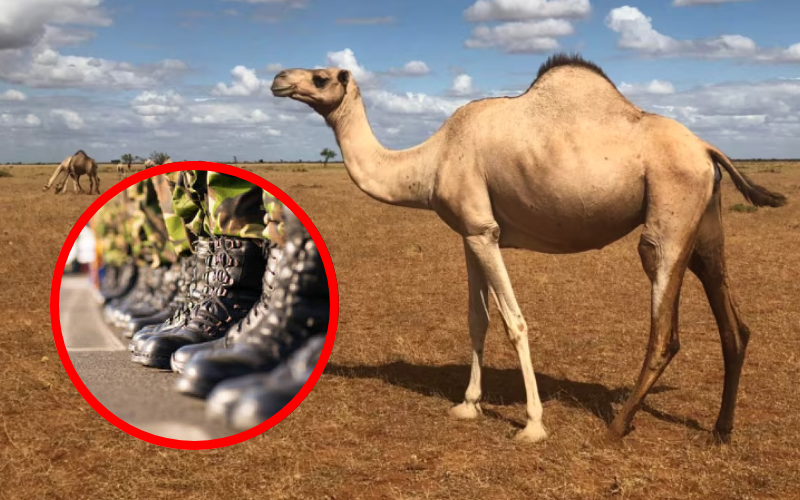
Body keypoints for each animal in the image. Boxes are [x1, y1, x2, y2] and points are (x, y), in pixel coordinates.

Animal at [270, 53, 787, 444]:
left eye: (320, 76)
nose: (278, 78)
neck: (430, 162)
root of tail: (707, 148)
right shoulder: (470, 231)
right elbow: (477, 319)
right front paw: (468, 404)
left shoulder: (484, 230)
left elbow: (513, 322)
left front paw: (533, 425)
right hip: (705, 223)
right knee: (732, 322)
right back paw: (720, 430)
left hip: (669, 214)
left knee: (665, 326)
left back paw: (619, 424)